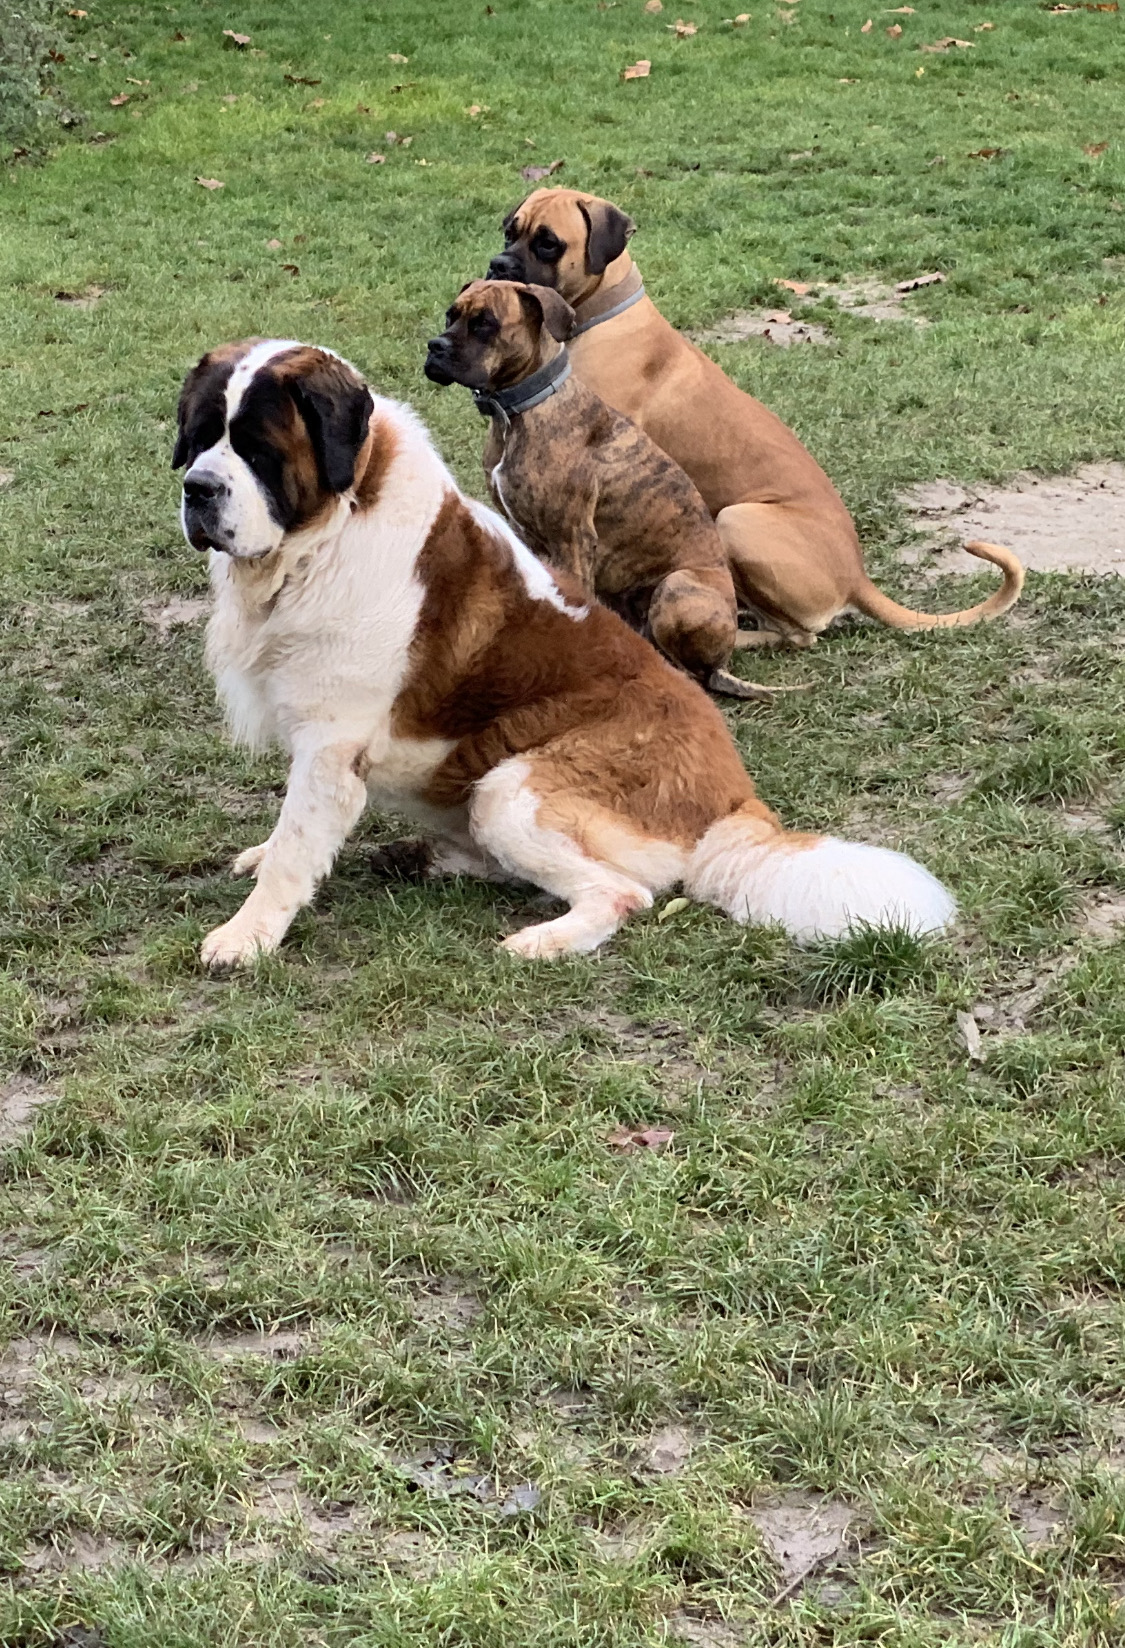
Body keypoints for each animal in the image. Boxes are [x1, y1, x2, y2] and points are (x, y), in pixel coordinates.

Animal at [176, 341, 961, 969]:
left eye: (258, 449)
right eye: (201, 435)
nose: (198, 488)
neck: (328, 532)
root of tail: (733, 798)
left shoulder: (333, 745)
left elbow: (296, 846)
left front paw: (245, 937)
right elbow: (292, 835)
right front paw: (266, 860)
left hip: (511, 791)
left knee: (623, 892)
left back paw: (540, 940)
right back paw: (423, 859)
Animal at [421, 278, 800, 702]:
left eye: (485, 322)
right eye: (451, 315)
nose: (435, 346)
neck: (520, 412)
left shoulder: (572, 538)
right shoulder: (528, 537)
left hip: (677, 588)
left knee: (697, 673)